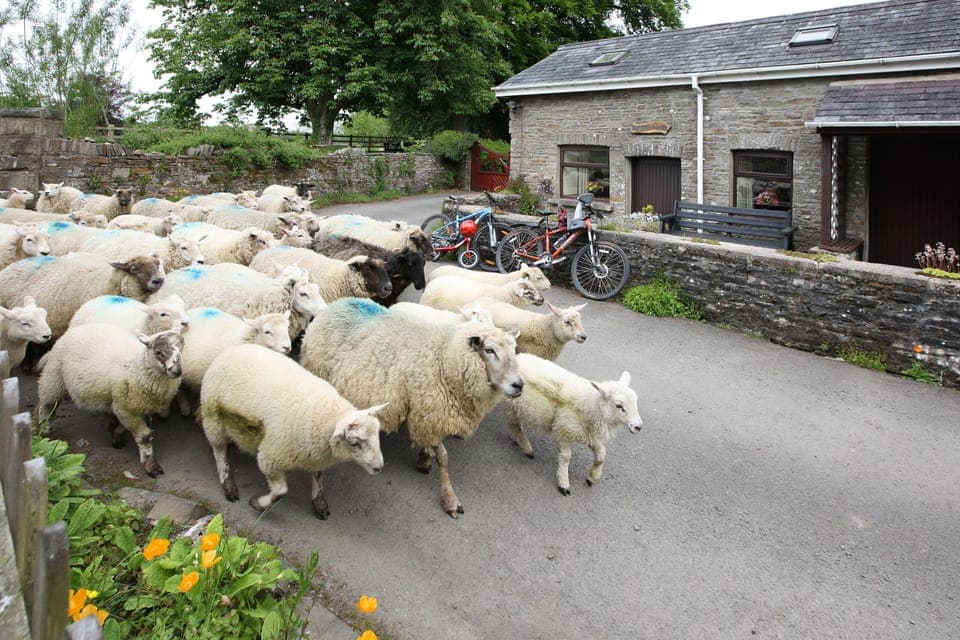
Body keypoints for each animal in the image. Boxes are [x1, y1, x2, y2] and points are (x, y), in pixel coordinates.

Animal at [34, 325, 183, 477]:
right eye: (158, 352)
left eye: (182, 346)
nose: (177, 371)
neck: (136, 366)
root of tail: (76, 329)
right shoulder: (125, 407)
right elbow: (144, 437)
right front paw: (151, 466)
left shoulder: (125, 406)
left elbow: (123, 425)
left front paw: (116, 436)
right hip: (54, 376)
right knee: (46, 403)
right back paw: (45, 427)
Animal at [200, 343, 386, 518]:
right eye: (354, 443)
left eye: (377, 436)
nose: (379, 468)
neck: (326, 415)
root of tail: (233, 349)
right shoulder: (270, 457)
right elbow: (280, 492)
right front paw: (258, 504)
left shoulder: (315, 454)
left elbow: (318, 475)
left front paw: (319, 502)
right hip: (213, 418)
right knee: (219, 452)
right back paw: (227, 483)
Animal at [300, 297, 523, 517]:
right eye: (490, 350)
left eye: (514, 350)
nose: (519, 385)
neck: (444, 354)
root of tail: (336, 304)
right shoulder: (428, 412)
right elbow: (444, 457)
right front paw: (450, 499)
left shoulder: (428, 413)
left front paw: (425, 458)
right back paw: (319, 499)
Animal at [501, 353, 642, 495]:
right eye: (619, 405)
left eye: (635, 401)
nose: (638, 427)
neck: (590, 405)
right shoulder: (562, 431)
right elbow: (566, 457)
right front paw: (563, 483)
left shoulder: (590, 435)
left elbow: (601, 455)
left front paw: (593, 477)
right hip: (511, 406)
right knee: (514, 425)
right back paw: (526, 447)